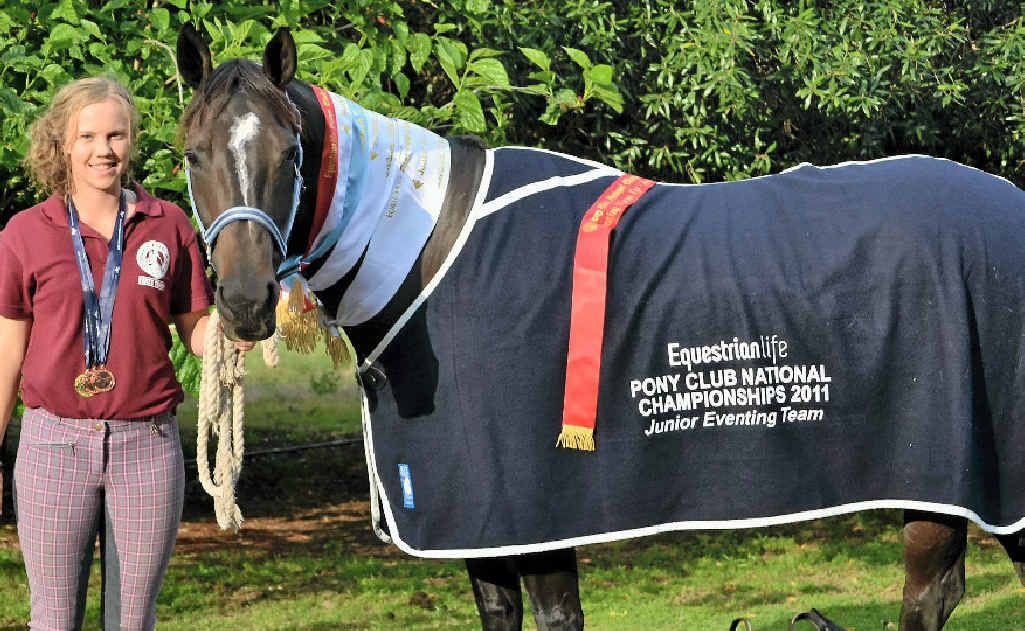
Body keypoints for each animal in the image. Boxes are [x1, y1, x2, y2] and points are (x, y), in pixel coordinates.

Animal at [176, 25, 1025, 630]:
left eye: (291, 152)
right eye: (192, 153)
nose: (246, 299)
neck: (430, 249)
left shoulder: (536, 510)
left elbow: (557, 616)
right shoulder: (478, 519)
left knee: (927, 595)